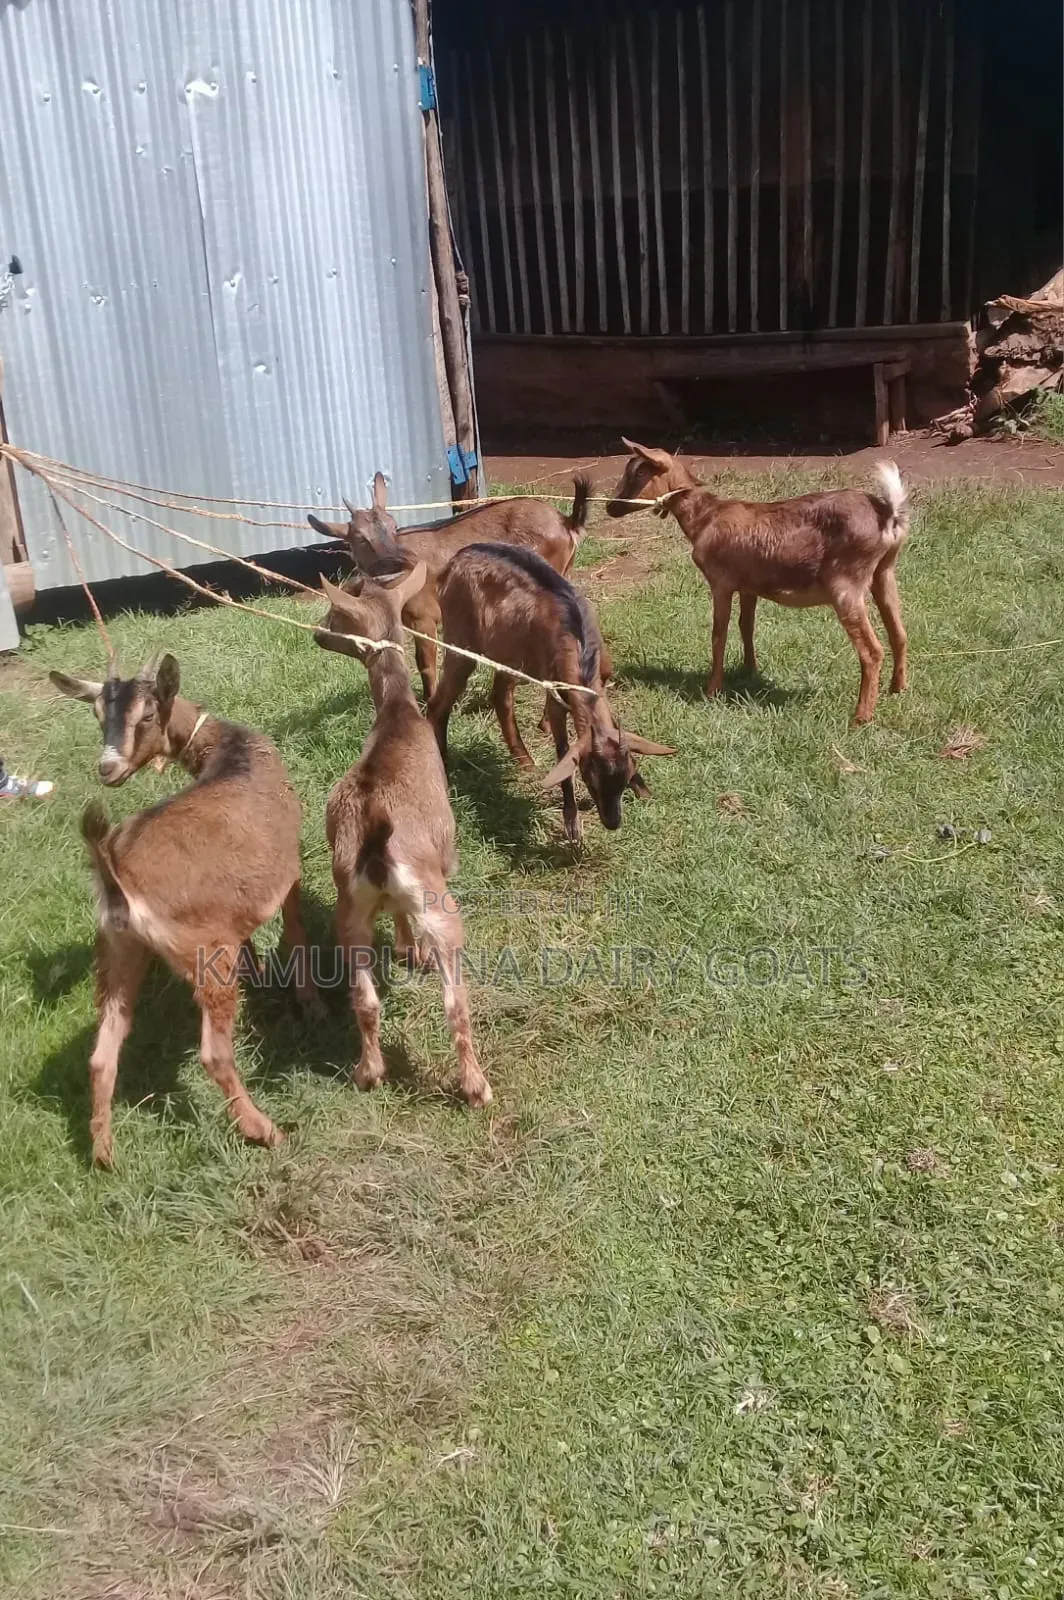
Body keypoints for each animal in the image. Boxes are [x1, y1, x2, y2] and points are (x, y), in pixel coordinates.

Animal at [49, 655, 319, 1166]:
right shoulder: (289, 868)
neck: (231, 750)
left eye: (146, 716)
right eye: (97, 715)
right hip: (203, 954)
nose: (107, 768)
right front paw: (313, 1005)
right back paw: (264, 1130)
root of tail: (115, 874)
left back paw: (103, 1151)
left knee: (103, 1050)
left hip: (117, 951)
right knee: (213, 1053)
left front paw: (261, 973)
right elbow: (295, 929)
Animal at [308, 471, 592, 703]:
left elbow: (425, 662)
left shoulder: (424, 616)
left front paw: (431, 699)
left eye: (393, 526)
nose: (400, 563)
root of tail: (566, 522)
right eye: (360, 539)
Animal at [314, 566, 492, 1107]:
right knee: (455, 999)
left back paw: (368, 1073)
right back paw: (476, 1085)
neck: (397, 712)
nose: (316, 633)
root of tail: (375, 830)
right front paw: (415, 954)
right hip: (438, 904)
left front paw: (405, 951)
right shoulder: (444, 855)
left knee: (364, 997)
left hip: (348, 909)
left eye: (335, 613)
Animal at [425, 543, 674, 843]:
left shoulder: (600, 680)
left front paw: (643, 790)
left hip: (508, 648)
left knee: (499, 695)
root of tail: (458, 557)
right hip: (460, 640)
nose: (612, 822)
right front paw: (572, 822)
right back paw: (444, 767)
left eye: (625, 778)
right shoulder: (555, 689)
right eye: (590, 779)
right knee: (438, 703)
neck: (577, 641)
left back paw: (525, 762)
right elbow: (562, 748)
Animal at [606, 440, 910, 724]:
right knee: (899, 632)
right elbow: (746, 626)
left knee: (872, 651)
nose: (610, 507)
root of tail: (888, 515)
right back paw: (897, 689)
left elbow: (719, 633)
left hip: (846, 584)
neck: (705, 517)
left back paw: (862, 716)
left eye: (640, 472)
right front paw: (749, 670)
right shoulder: (748, 586)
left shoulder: (721, 581)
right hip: (884, 573)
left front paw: (712, 690)